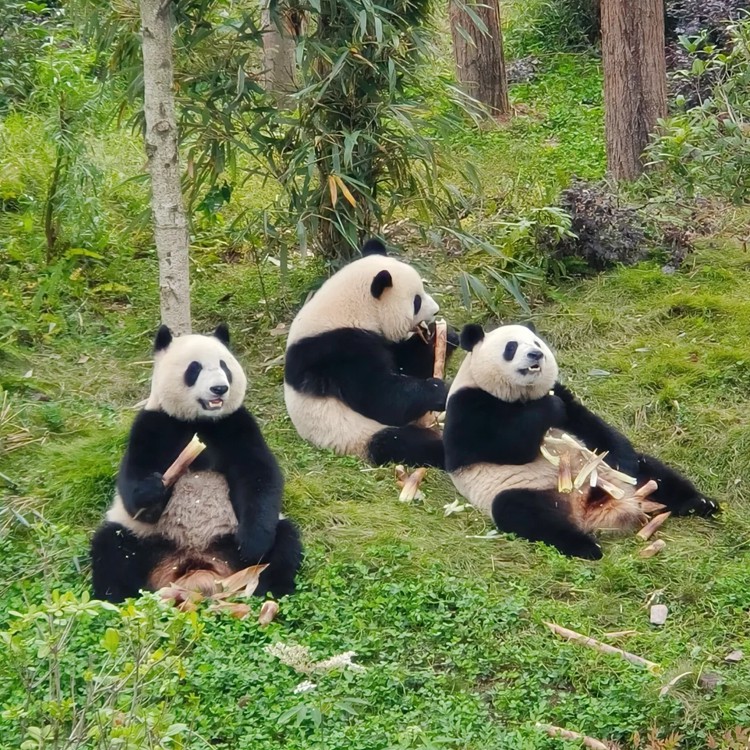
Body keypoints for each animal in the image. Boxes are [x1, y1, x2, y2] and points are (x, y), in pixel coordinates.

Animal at [90, 324, 302, 602]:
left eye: (224, 366)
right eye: (195, 369)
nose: (219, 388)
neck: (199, 421)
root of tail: (198, 568)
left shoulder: (236, 425)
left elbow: (259, 475)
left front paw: (252, 544)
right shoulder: (153, 424)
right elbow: (132, 483)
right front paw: (153, 490)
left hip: (234, 538)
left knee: (285, 541)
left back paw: (269, 592)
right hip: (144, 540)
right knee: (112, 549)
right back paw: (116, 599)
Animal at [284, 239, 458, 468]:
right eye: (416, 301)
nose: (436, 310)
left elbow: (406, 363)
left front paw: (444, 336)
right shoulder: (339, 351)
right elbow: (380, 396)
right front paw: (439, 389)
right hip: (356, 434)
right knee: (401, 442)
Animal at [443, 323, 720, 559]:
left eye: (537, 342)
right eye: (511, 347)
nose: (535, 355)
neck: (521, 395)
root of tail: (585, 507)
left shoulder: (563, 396)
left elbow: (590, 425)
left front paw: (621, 457)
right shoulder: (466, 406)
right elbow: (503, 447)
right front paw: (549, 408)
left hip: (622, 479)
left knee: (654, 472)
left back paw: (701, 503)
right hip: (523, 490)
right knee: (523, 513)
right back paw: (587, 546)